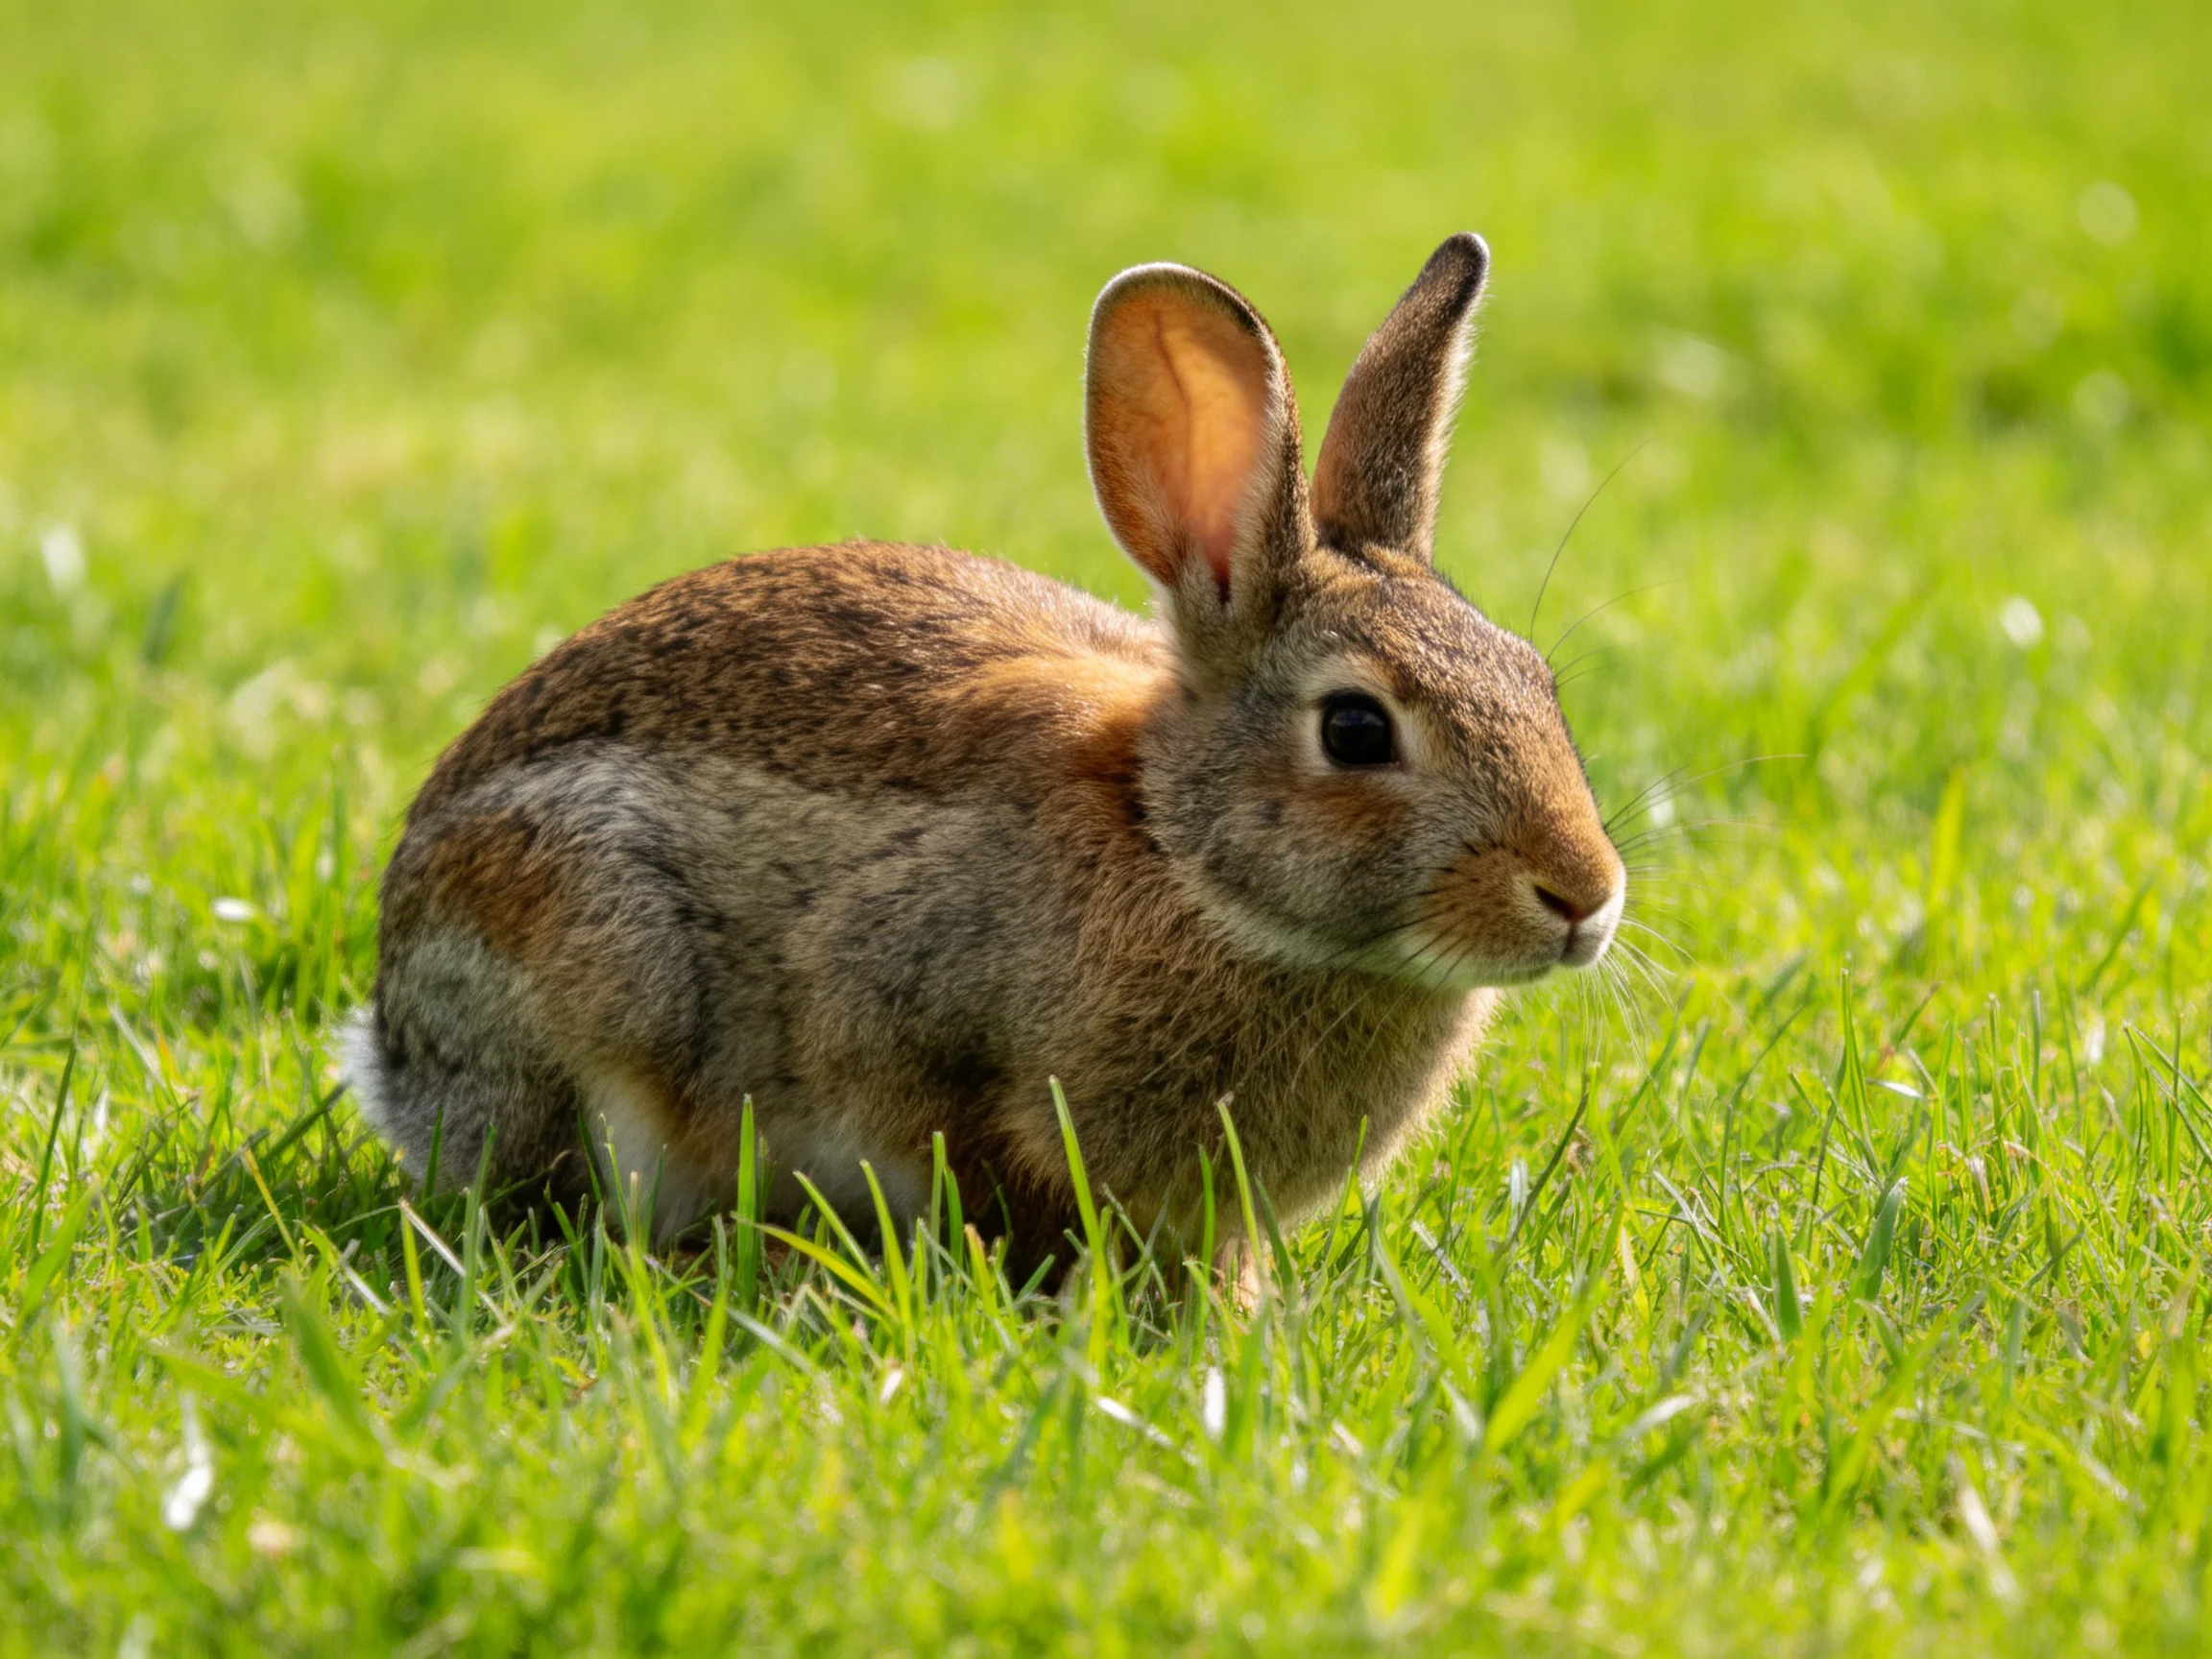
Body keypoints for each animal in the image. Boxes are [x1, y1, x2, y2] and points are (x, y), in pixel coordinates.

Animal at [342, 232, 1626, 1280]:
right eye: (1355, 730)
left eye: (1537, 680)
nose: (1584, 897)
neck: (1178, 855)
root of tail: (394, 1057)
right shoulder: (904, 1021)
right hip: (588, 956)